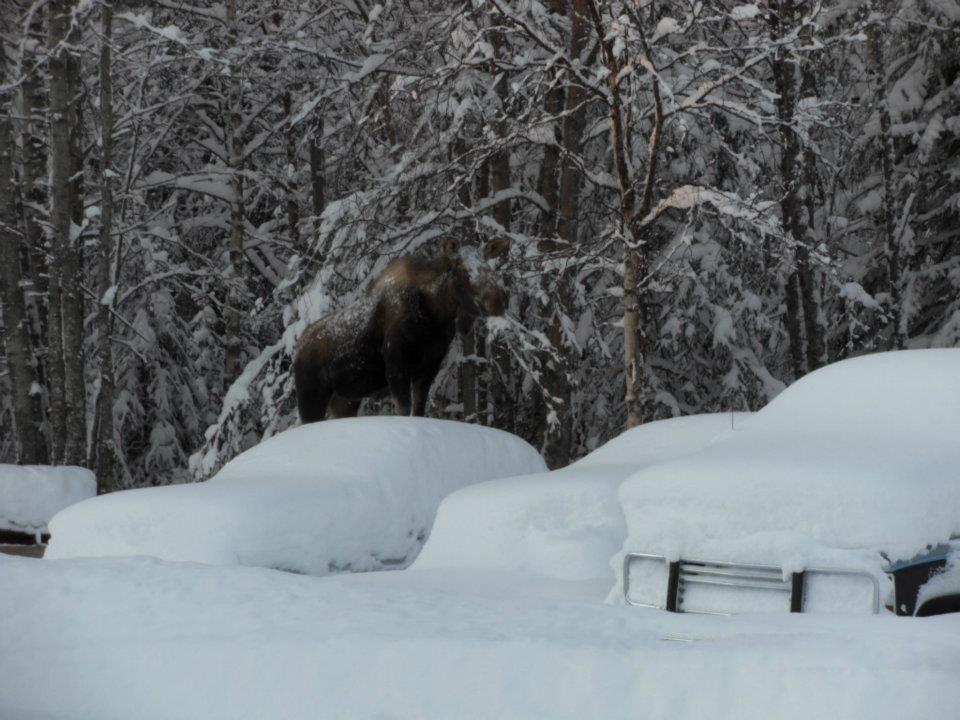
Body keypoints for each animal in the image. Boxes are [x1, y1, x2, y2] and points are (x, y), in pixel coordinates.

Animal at [292, 242, 506, 422]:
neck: (435, 315)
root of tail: (299, 345)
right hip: (311, 395)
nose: (497, 301)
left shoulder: (429, 366)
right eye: (463, 271)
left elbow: (418, 409)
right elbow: (404, 408)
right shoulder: (396, 363)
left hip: (346, 399)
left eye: (489, 267)